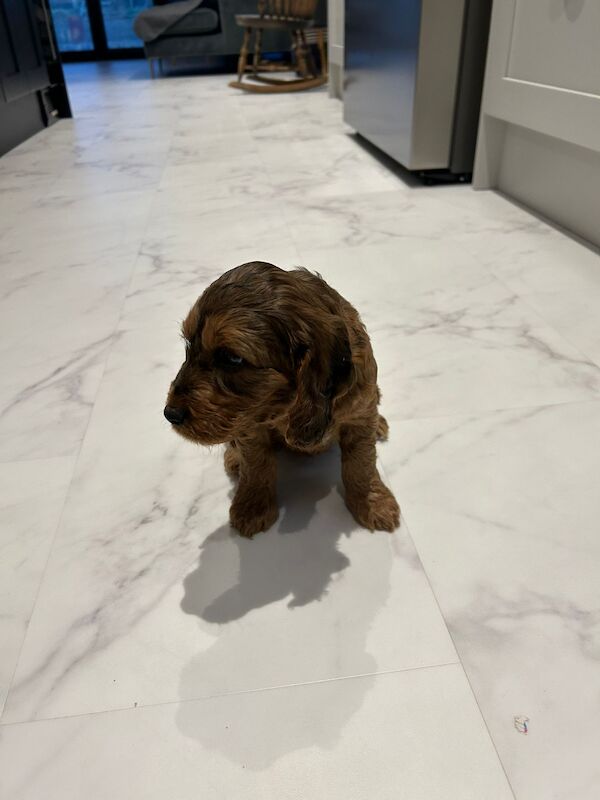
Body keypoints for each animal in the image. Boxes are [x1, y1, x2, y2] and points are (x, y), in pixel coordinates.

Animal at [165, 262, 398, 536]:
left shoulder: (359, 413)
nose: (170, 414)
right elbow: (256, 465)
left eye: (232, 358)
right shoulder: (249, 423)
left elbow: (361, 464)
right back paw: (234, 458)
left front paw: (373, 504)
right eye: (189, 343)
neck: (286, 403)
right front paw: (252, 508)